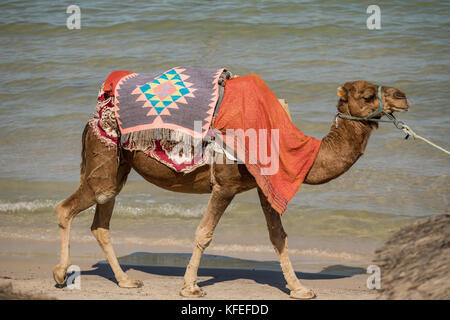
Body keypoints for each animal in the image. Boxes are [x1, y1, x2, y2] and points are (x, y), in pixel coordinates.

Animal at [51, 79, 408, 298]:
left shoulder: (265, 185)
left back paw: (126, 280)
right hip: (104, 158)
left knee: (101, 222)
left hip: (118, 168)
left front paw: (300, 289)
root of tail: (94, 116)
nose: (403, 97)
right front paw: (190, 287)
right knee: (67, 207)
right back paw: (59, 274)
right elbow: (204, 233)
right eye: (366, 96)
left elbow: (278, 237)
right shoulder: (225, 184)